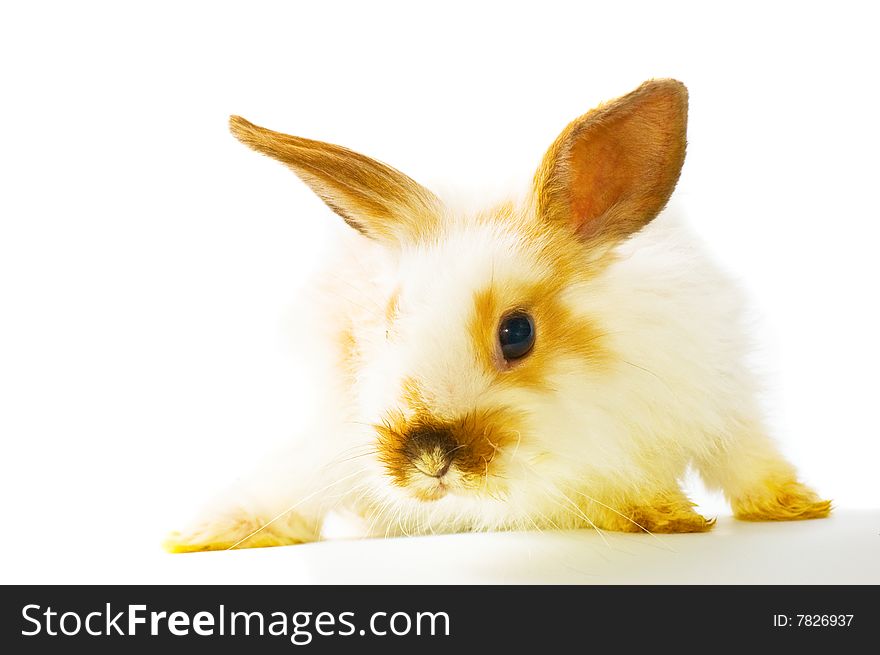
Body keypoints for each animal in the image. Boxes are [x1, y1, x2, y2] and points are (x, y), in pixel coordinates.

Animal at [167, 80, 832, 552]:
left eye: (517, 334)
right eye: (387, 324)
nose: (429, 460)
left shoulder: (720, 397)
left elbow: (747, 461)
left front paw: (791, 506)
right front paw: (660, 512)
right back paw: (204, 536)